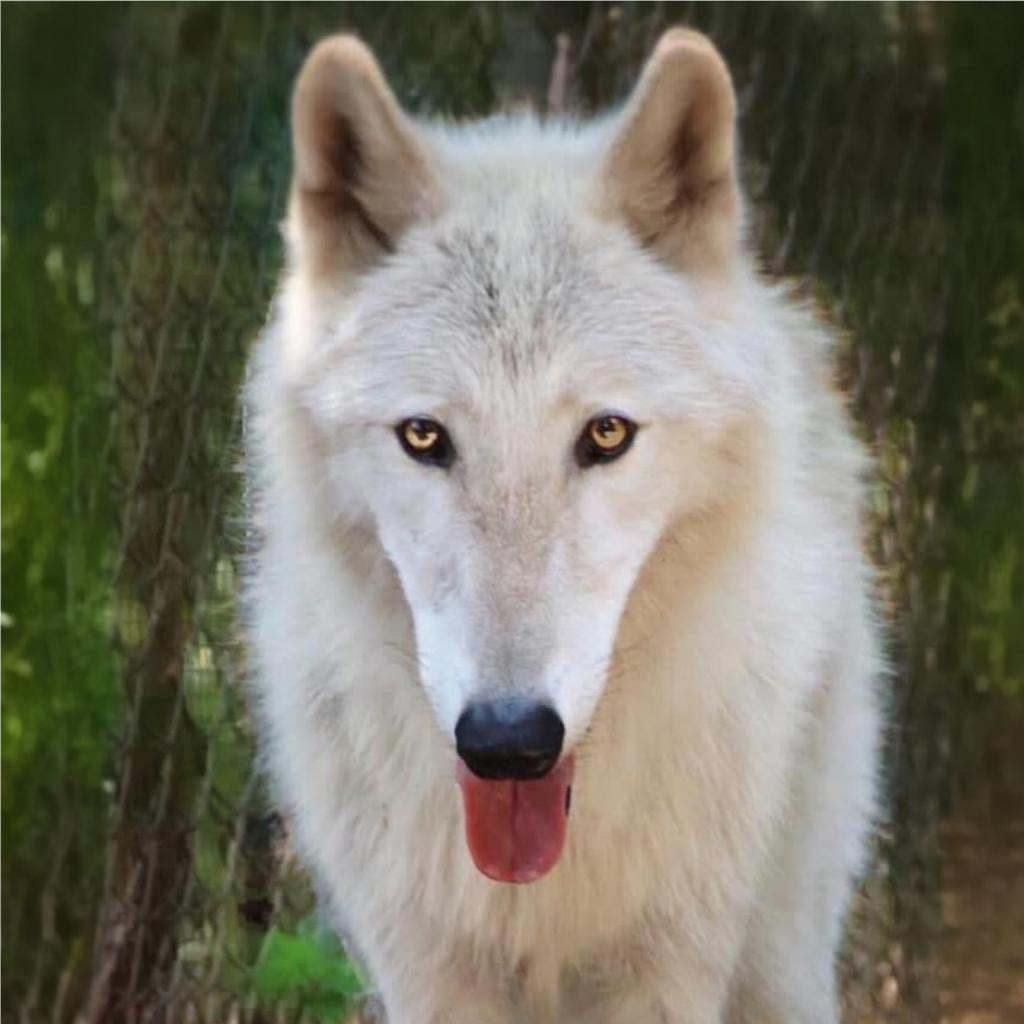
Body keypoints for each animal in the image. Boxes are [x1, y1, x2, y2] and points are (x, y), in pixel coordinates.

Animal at [243, 26, 882, 1024]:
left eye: (607, 434)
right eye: (424, 437)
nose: (508, 741)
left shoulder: (668, 968)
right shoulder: (426, 970)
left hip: (783, 955)